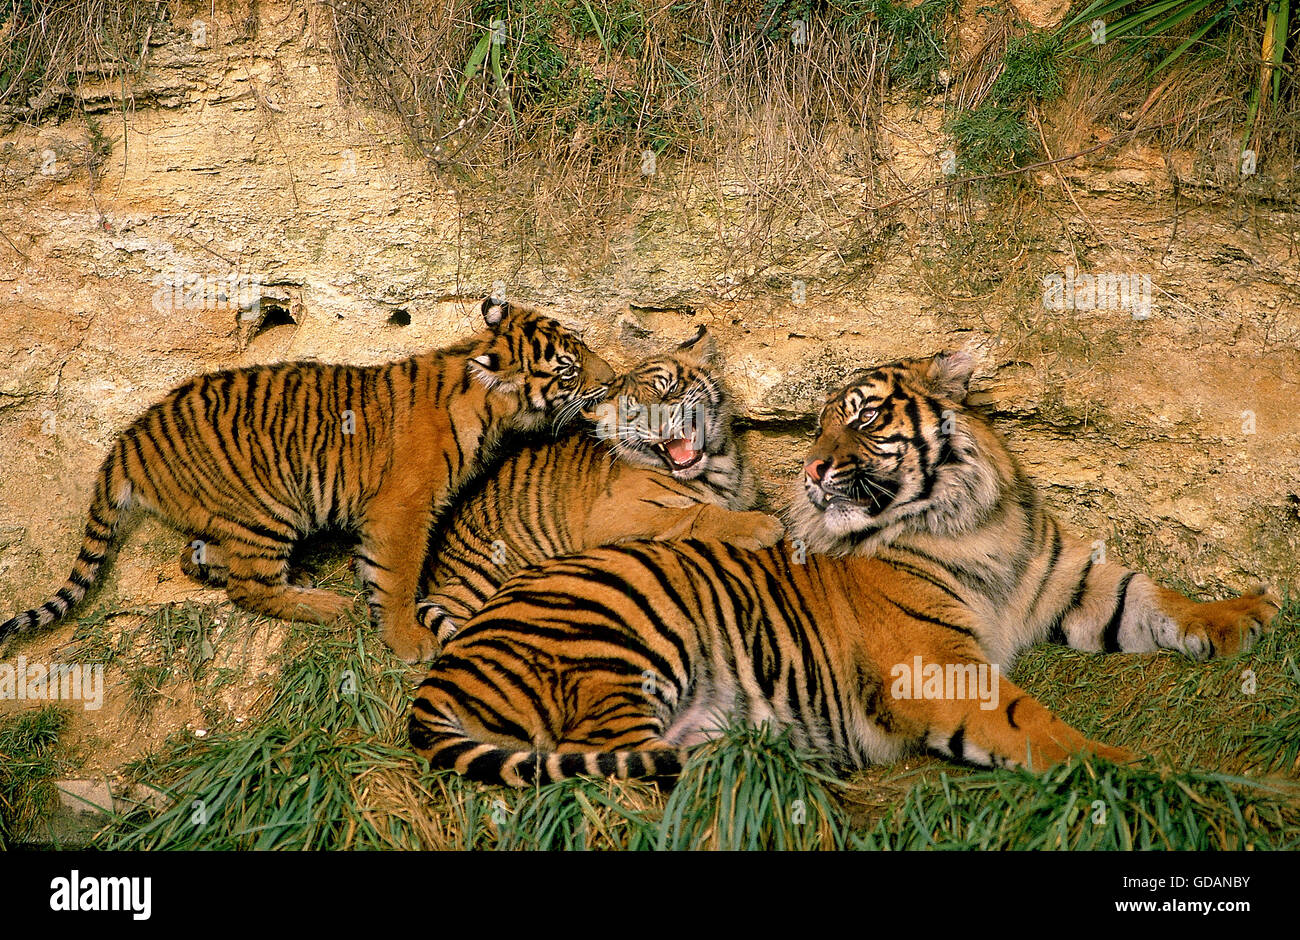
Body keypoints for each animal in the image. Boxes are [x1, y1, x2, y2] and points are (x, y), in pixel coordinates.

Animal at [1, 299, 613, 663]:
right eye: (567, 367)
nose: (610, 380)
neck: (485, 404)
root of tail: (129, 439)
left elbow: (379, 570)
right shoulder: (402, 509)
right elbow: (399, 577)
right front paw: (408, 640)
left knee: (197, 558)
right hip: (266, 509)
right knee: (249, 587)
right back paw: (327, 607)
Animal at [416, 327, 780, 650]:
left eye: (669, 390)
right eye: (633, 412)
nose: (660, 425)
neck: (720, 464)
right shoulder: (616, 516)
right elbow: (696, 513)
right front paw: (762, 525)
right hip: (481, 576)